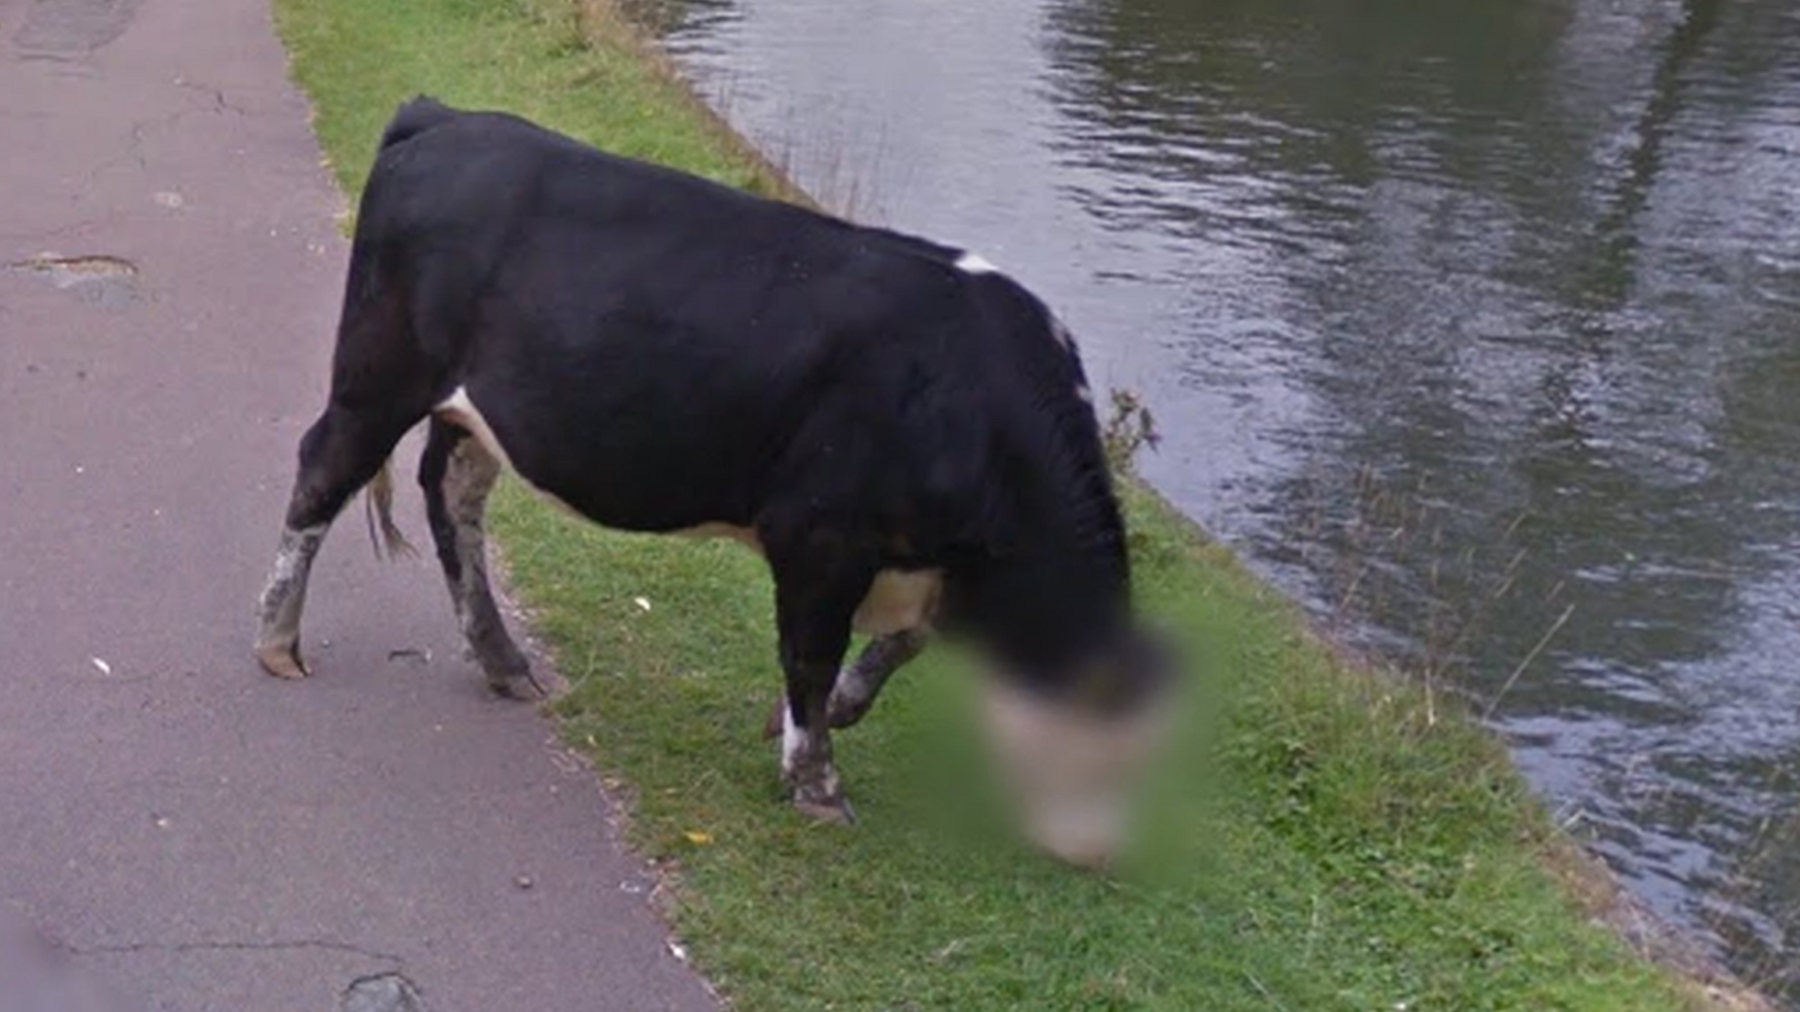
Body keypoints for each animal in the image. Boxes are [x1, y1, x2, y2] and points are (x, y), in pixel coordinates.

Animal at [261, 94, 1173, 864]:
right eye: (1105, 758)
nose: (1098, 857)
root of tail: (445, 119)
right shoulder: (819, 533)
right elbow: (810, 654)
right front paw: (816, 784)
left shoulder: (919, 561)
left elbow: (899, 644)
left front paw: (829, 713)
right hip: (381, 374)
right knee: (323, 472)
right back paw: (279, 641)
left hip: (472, 410)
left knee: (453, 501)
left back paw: (501, 658)